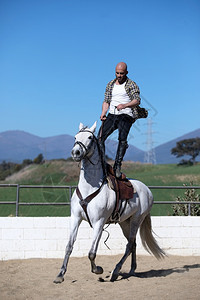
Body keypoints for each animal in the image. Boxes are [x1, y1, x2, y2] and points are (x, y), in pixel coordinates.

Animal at [54, 122, 165, 284]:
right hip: (124, 222)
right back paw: (131, 270)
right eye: (75, 137)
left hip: (136, 220)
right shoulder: (75, 218)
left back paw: (115, 271)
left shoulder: (99, 223)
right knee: (133, 244)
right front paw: (60, 274)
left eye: (89, 137)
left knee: (129, 244)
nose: (76, 152)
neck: (90, 188)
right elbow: (69, 246)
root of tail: (147, 190)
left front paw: (97, 270)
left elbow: (91, 253)